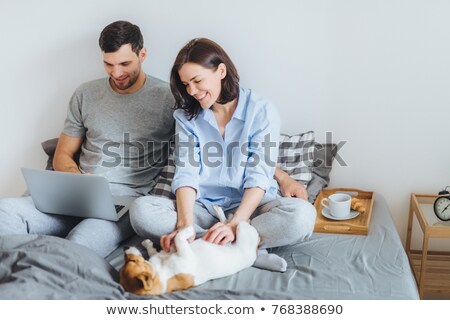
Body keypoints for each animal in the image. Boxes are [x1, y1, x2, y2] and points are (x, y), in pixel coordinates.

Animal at [120, 221, 260, 296]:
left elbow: (157, 249)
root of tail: (256, 249)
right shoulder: (186, 256)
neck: (162, 272)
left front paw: (148, 243)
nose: (125, 247)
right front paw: (188, 229)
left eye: (128, 260)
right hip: (243, 227)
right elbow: (179, 238)